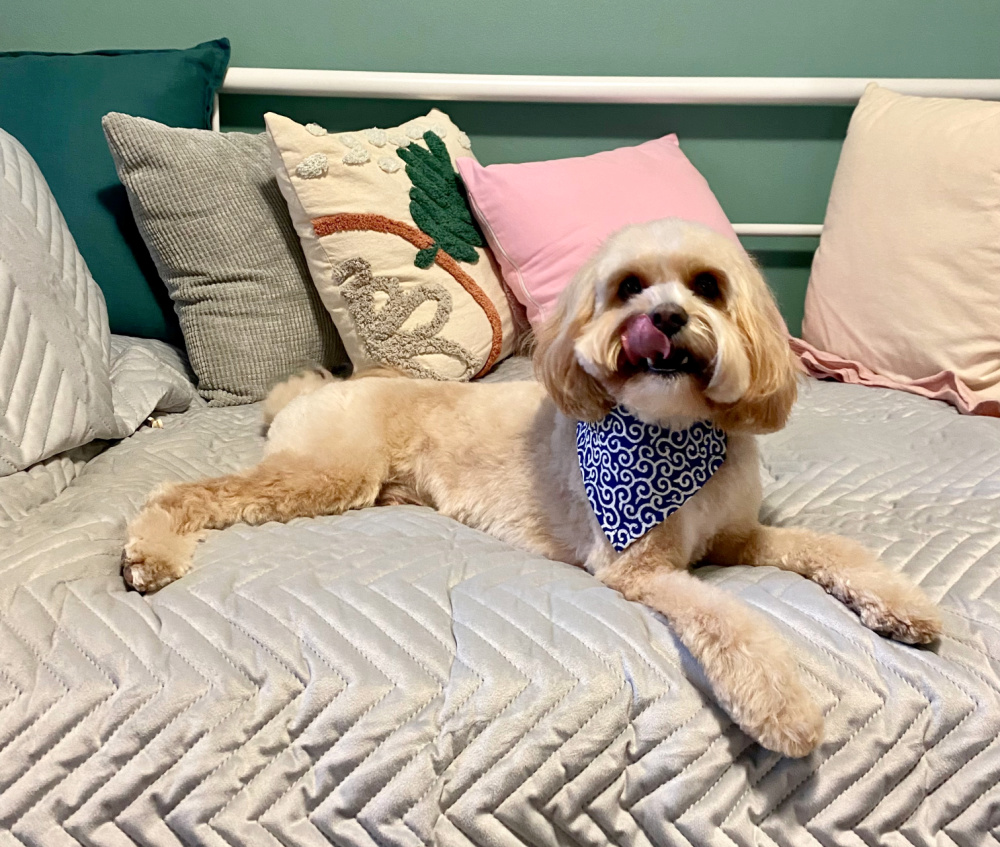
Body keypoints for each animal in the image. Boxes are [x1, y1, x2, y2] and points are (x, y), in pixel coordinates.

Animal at [121, 217, 940, 756]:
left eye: (708, 286)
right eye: (628, 287)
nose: (664, 317)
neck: (674, 432)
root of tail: (310, 391)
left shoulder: (736, 535)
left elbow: (830, 547)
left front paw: (901, 606)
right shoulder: (639, 567)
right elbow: (730, 620)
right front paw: (782, 703)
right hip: (325, 472)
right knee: (186, 493)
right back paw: (149, 552)